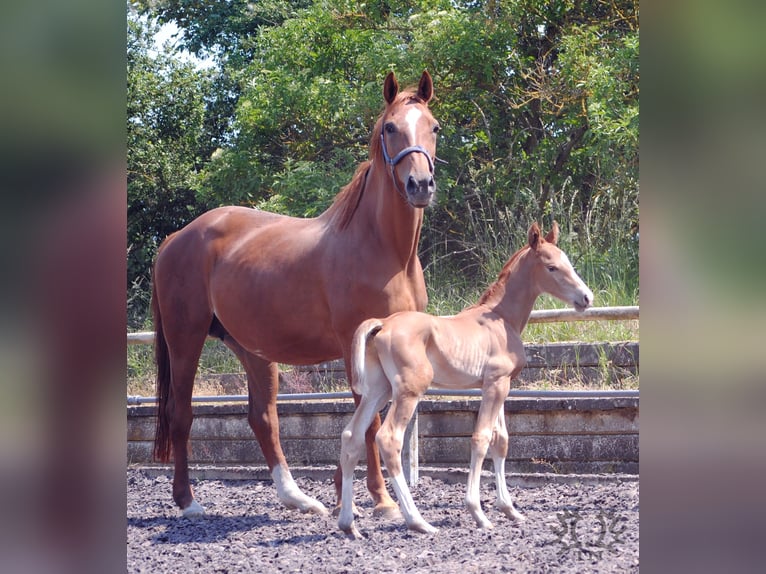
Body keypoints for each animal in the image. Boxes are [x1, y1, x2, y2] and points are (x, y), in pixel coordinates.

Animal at [151, 71, 440, 518]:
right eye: (390, 128)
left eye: (434, 127)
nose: (420, 184)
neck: (383, 249)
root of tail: (175, 238)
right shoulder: (355, 342)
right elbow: (370, 420)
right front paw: (381, 499)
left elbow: (371, 415)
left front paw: (343, 491)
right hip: (185, 338)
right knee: (180, 413)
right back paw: (188, 501)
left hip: (252, 348)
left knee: (263, 418)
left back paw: (297, 497)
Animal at [337, 222, 594, 538]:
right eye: (552, 267)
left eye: (567, 262)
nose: (586, 298)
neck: (501, 318)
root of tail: (383, 324)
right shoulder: (495, 384)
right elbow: (481, 439)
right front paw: (478, 513)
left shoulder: (499, 385)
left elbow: (501, 441)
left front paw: (510, 510)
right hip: (408, 391)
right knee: (388, 439)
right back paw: (418, 521)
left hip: (378, 390)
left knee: (351, 437)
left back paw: (349, 525)